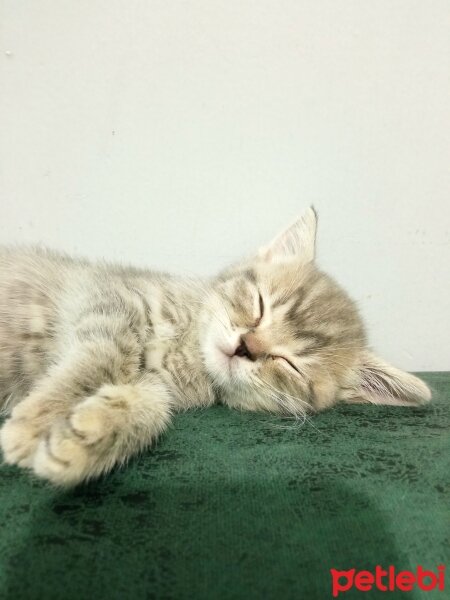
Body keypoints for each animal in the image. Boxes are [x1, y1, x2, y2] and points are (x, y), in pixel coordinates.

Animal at [0, 209, 428, 486]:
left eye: (290, 364)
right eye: (259, 305)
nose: (246, 346)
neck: (188, 348)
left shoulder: (157, 384)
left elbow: (152, 406)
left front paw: (85, 438)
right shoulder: (107, 301)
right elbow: (101, 357)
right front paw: (37, 420)